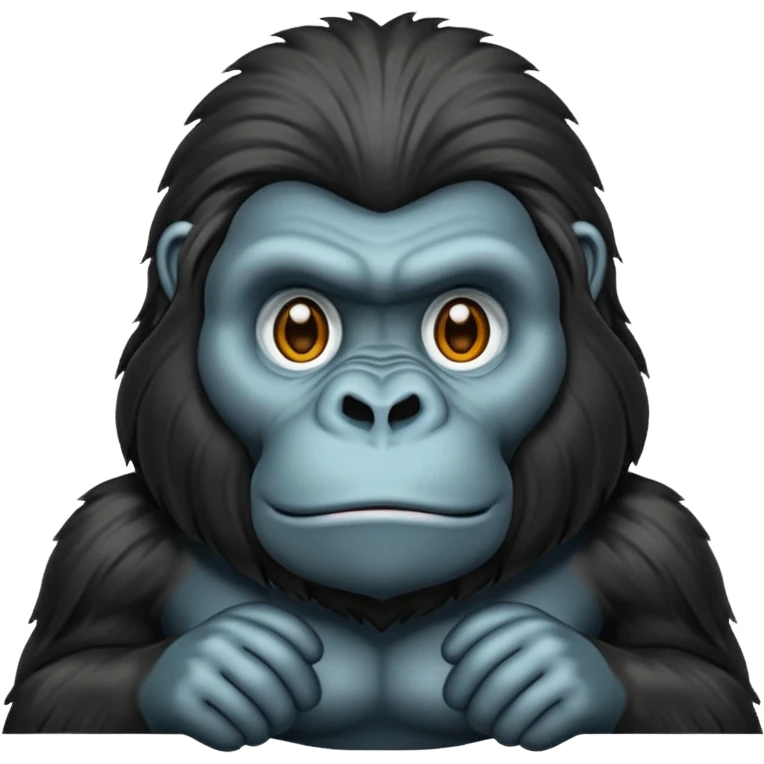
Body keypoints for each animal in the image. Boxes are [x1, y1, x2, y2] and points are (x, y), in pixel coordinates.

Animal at [3, 12, 761, 752]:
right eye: (300, 329)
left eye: (463, 329)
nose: (380, 407)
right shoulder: (111, 541)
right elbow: (51, 688)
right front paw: (206, 669)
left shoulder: (652, 542)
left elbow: (712, 689)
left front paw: (558, 670)